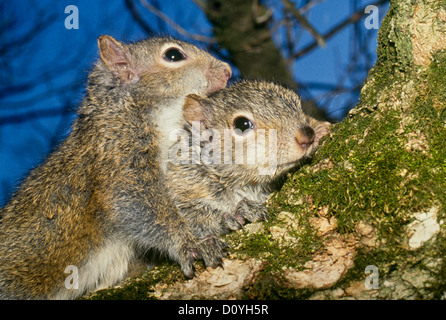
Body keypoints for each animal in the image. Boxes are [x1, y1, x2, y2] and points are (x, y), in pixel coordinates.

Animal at [166, 80, 330, 238]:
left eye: (295, 101)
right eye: (242, 124)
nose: (307, 135)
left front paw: (321, 129)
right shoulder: (183, 183)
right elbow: (186, 220)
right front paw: (237, 213)